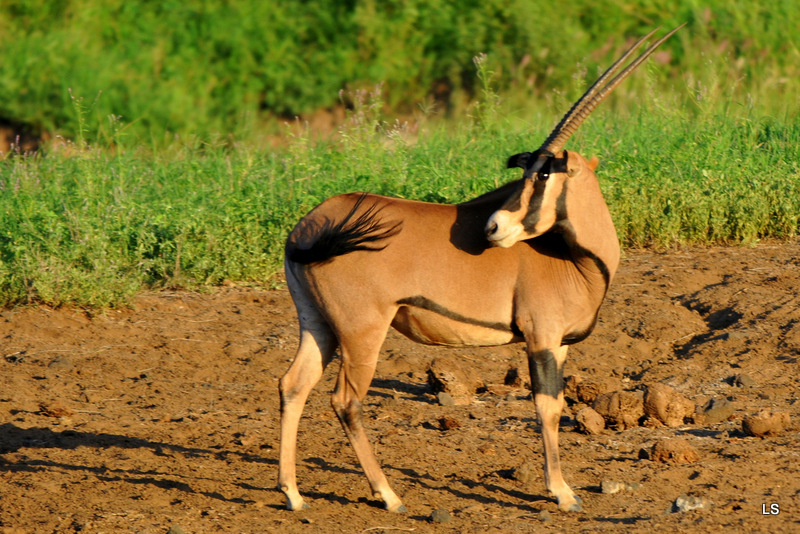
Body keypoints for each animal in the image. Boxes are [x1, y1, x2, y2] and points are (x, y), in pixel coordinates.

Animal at [280, 26, 680, 516]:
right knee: (346, 400)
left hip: (317, 323)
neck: (577, 257)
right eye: (528, 172)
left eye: (543, 175)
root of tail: (308, 228)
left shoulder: (560, 345)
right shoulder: (541, 338)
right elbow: (547, 408)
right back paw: (389, 496)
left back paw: (293, 494)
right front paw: (562, 492)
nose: (493, 227)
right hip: (361, 331)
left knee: (293, 385)